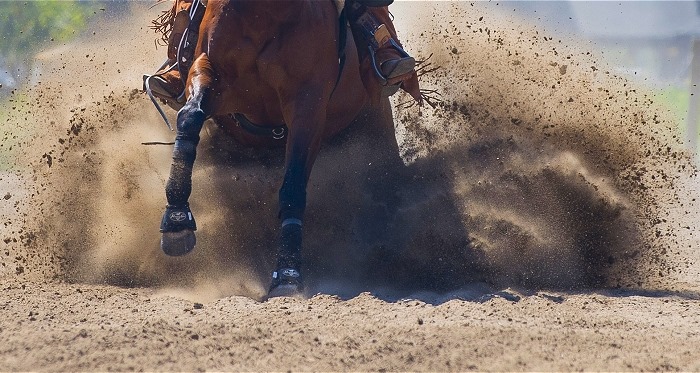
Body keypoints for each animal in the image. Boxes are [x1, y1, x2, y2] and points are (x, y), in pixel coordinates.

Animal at [152, 0, 416, 296]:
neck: (263, 13)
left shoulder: (308, 102)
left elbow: (293, 185)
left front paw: (287, 274)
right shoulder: (209, 68)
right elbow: (190, 115)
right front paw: (176, 219)